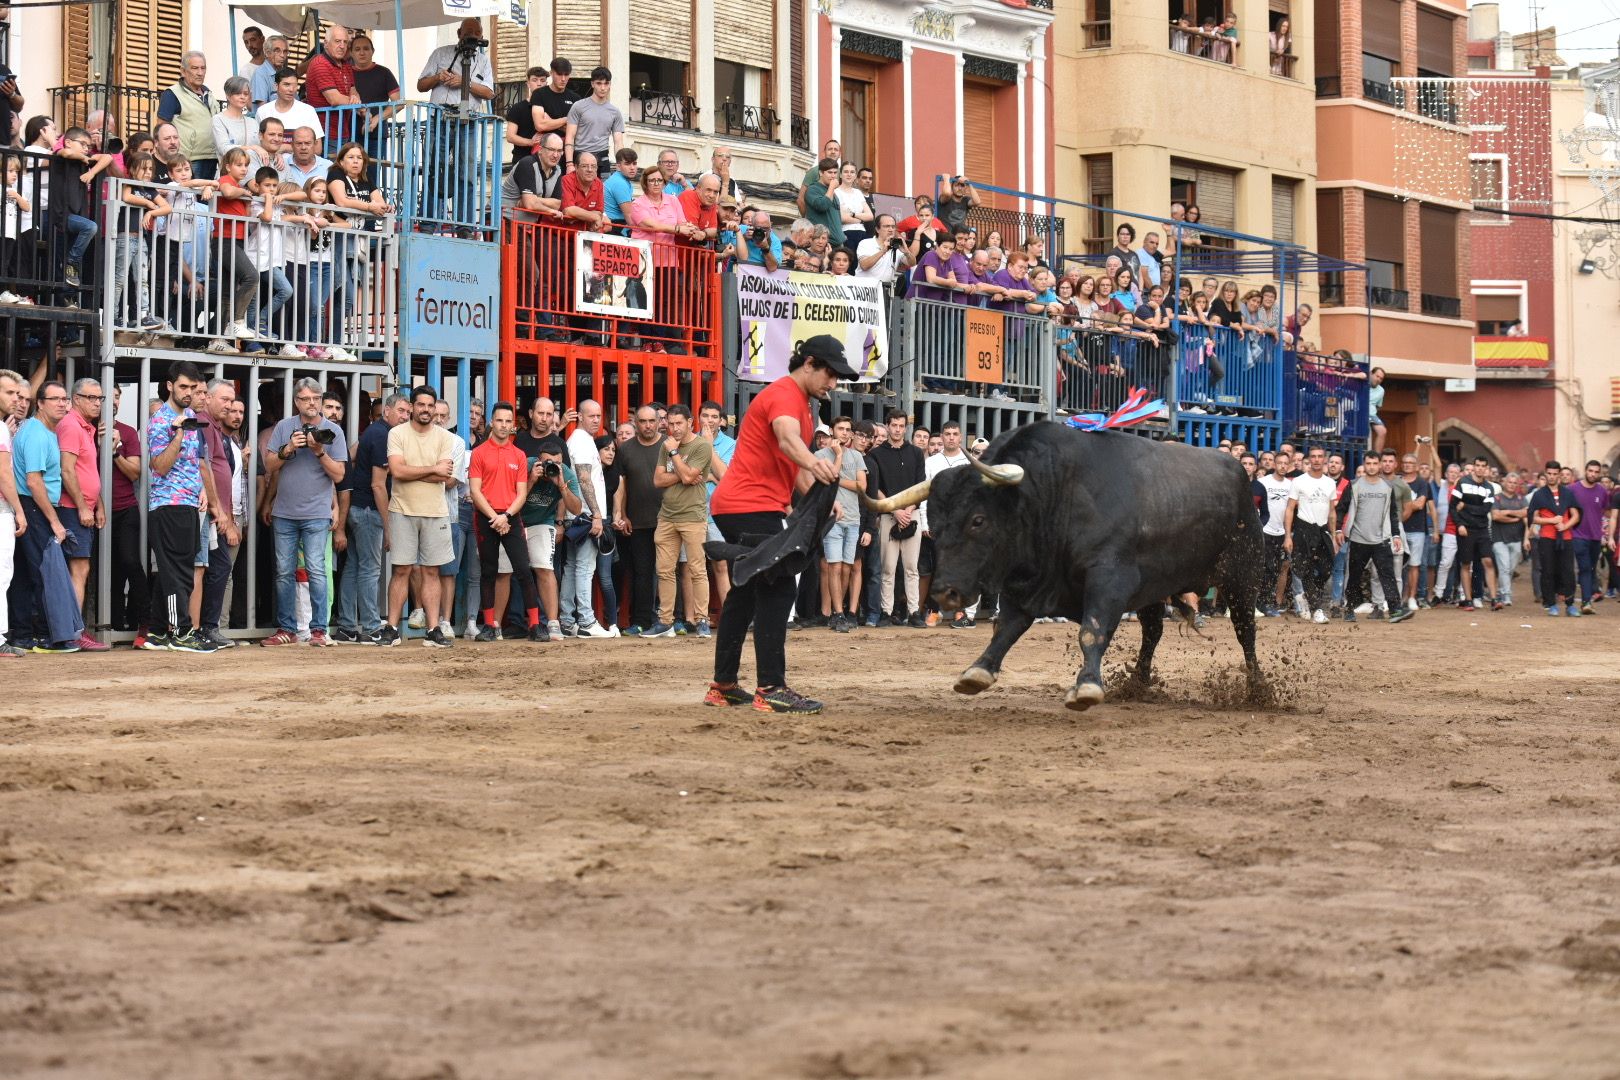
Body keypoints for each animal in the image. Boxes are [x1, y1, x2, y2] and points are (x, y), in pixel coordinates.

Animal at [861, 420, 1263, 709]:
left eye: (978, 520)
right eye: (935, 522)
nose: (946, 593)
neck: (1055, 491)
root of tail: (1239, 473)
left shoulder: (1110, 579)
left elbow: (1091, 631)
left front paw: (1086, 687)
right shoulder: (1025, 582)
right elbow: (1006, 628)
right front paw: (978, 671)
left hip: (1242, 576)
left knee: (1245, 632)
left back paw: (1258, 689)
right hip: (1154, 588)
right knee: (1153, 632)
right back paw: (1139, 682)